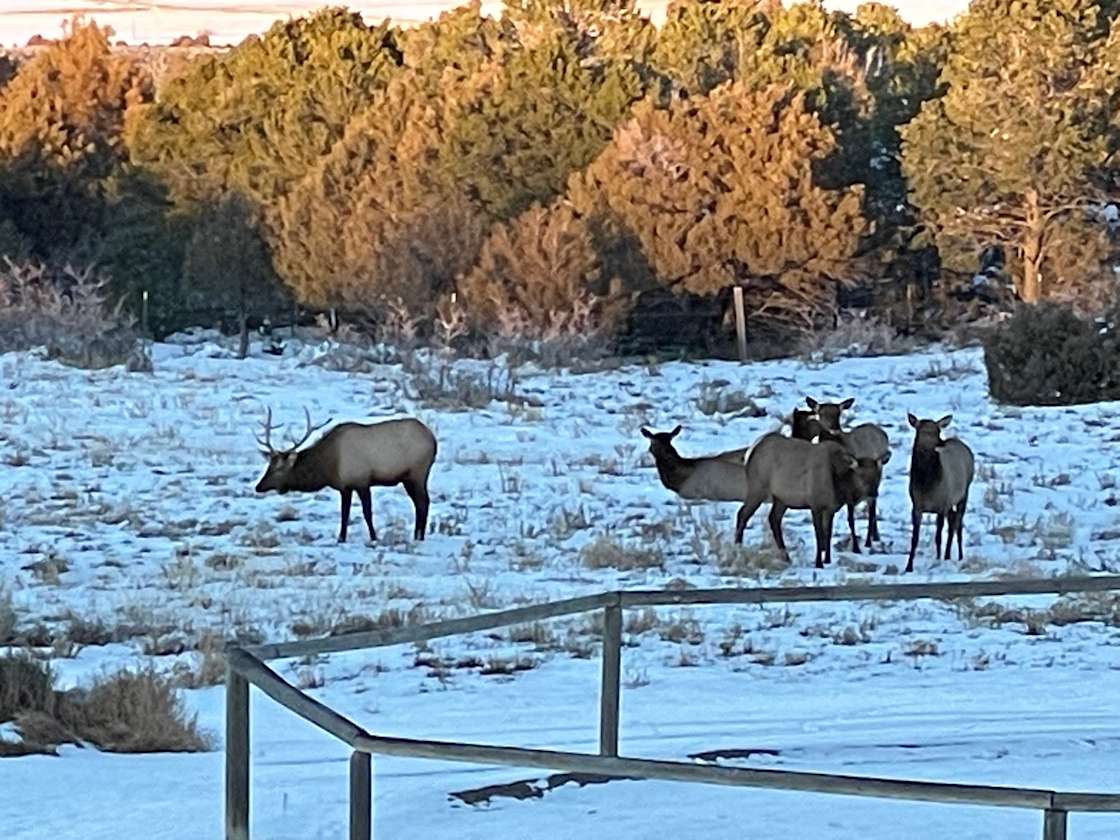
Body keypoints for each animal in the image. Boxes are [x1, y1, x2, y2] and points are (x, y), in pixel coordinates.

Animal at [254, 409, 436, 542]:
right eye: (268, 465)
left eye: (278, 468)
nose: (258, 486)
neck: (328, 465)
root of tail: (433, 439)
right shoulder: (345, 487)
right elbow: (344, 514)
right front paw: (341, 538)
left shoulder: (362, 481)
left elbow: (367, 512)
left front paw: (374, 538)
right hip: (408, 478)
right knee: (419, 503)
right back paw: (417, 535)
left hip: (418, 473)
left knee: (424, 502)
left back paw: (419, 537)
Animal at [730, 434, 878, 573]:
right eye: (860, 475)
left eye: (877, 476)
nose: (874, 493)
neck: (840, 485)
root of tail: (749, 454)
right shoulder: (815, 504)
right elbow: (819, 534)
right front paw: (819, 563)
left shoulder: (830, 508)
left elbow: (828, 533)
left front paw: (828, 559)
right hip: (757, 488)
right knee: (742, 514)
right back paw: (738, 548)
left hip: (781, 498)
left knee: (773, 518)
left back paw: (786, 557)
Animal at [904, 412, 976, 573]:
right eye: (925, 431)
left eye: (938, 431)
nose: (941, 443)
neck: (926, 485)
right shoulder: (916, 506)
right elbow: (914, 538)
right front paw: (909, 566)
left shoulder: (942, 505)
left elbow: (938, 537)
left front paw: (937, 561)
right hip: (951, 503)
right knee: (953, 522)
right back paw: (949, 555)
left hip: (964, 493)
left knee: (957, 525)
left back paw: (956, 556)